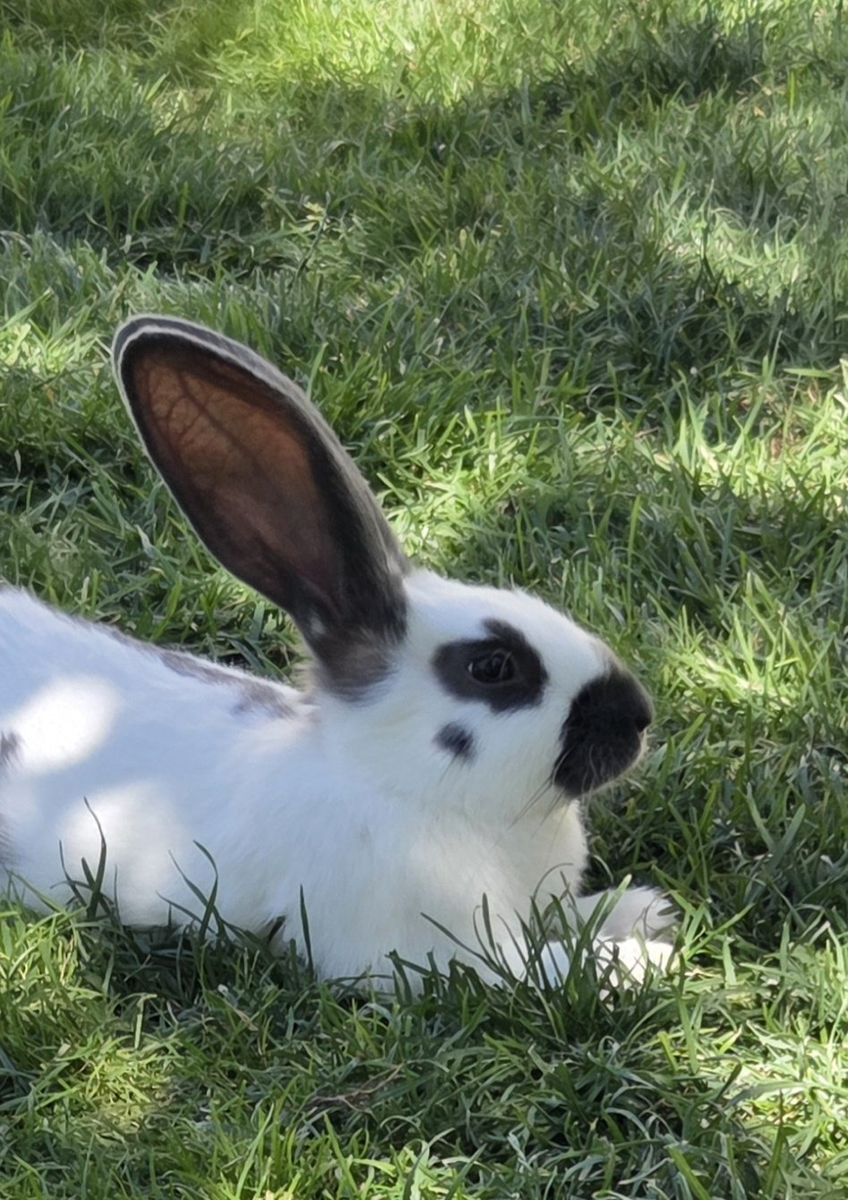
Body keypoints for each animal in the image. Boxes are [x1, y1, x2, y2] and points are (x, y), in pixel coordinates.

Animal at [0, 316, 674, 988]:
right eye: (493, 666)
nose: (637, 716)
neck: (399, 784)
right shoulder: (441, 953)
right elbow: (540, 966)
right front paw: (643, 960)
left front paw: (645, 910)